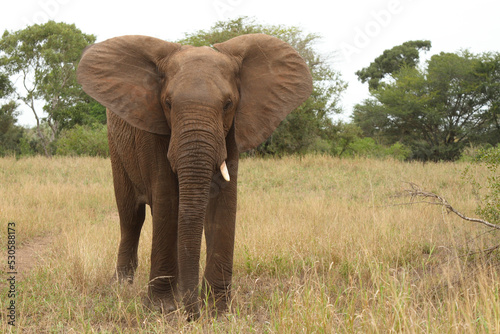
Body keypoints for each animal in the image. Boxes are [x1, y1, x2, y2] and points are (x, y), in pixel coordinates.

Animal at [77, 34, 312, 318]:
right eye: (167, 103)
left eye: (228, 104)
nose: (192, 315)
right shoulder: (152, 129)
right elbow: (167, 199)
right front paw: (163, 309)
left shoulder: (232, 130)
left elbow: (223, 204)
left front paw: (218, 311)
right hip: (115, 146)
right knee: (131, 216)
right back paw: (123, 285)